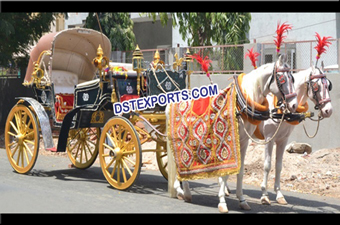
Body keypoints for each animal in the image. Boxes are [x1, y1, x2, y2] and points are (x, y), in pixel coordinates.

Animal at [167, 55, 298, 213]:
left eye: (293, 79)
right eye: (282, 79)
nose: (294, 105)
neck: (240, 105)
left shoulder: (244, 141)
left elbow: (240, 171)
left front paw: (242, 199)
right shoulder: (226, 140)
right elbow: (225, 172)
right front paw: (222, 201)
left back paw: (185, 192)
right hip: (179, 140)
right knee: (179, 163)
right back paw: (181, 190)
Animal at [258, 62, 332, 206]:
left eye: (328, 85)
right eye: (317, 86)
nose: (328, 110)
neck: (281, 110)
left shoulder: (283, 140)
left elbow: (279, 166)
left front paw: (279, 194)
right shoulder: (269, 139)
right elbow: (267, 165)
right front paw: (264, 195)